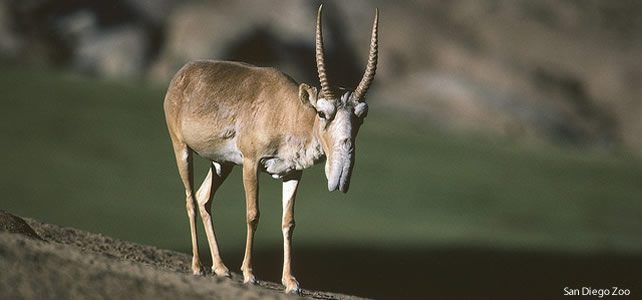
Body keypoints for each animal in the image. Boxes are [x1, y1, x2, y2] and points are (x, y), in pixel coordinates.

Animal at [162, 5, 378, 292]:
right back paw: (198, 267)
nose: (340, 174)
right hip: (182, 148)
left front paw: (291, 281)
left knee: (203, 197)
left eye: (360, 116)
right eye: (322, 113)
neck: (288, 111)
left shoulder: (292, 174)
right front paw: (249, 273)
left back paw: (221, 268)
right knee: (189, 199)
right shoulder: (251, 164)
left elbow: (289, 222)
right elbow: (253, 214)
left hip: (222, 164)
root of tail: (181, 76)